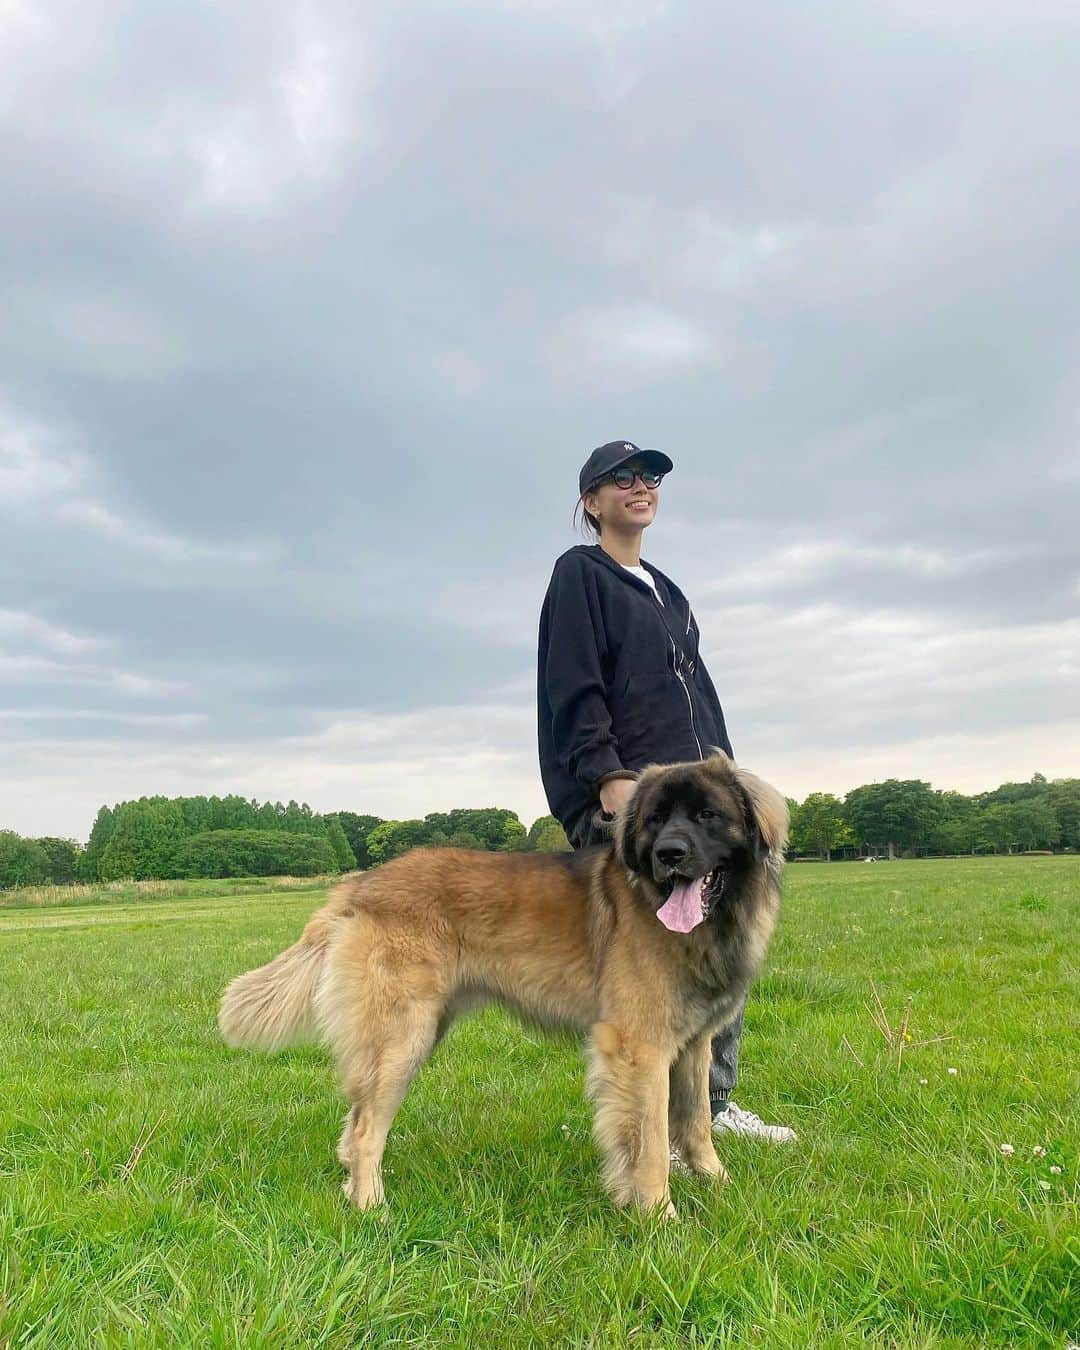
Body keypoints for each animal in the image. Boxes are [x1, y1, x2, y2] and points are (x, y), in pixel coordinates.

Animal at [217, 756, 783, 1220]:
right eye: (655, 820)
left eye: (707, 815)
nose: (669, 854)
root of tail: (358, 885)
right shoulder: (639, 1049)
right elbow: (648, 1145)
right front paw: (657, 1216)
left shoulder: (693, 1043)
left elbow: (696, 1120)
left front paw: (717, 1183)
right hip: (402, 1038)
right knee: (364, 1130)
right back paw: (371, 1209)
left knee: (356, 1117)